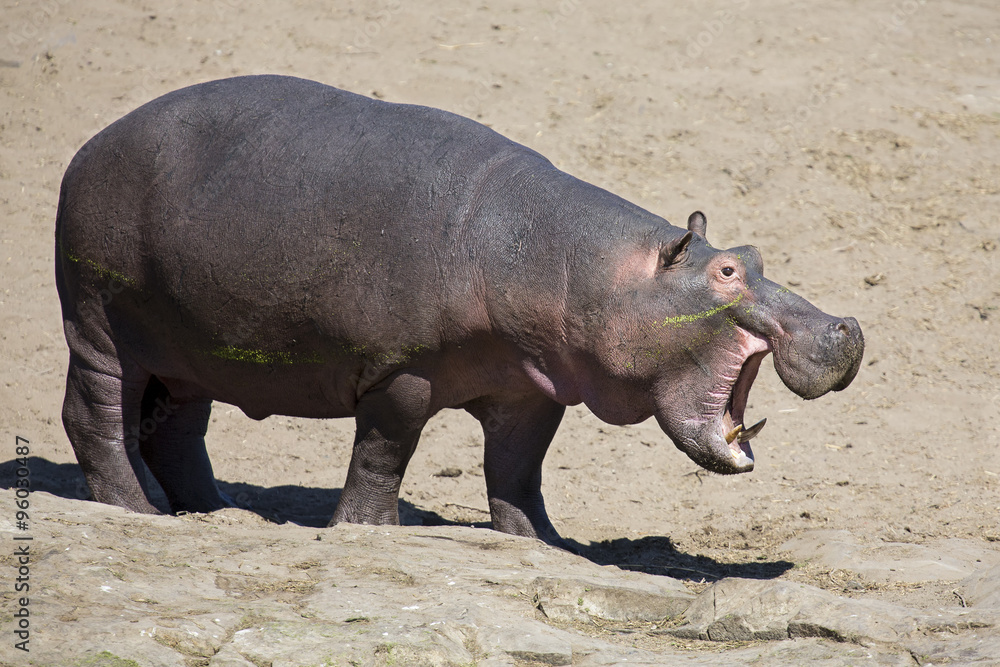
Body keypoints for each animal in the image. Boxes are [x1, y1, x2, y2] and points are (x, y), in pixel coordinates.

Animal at [56, 73, 868, 544]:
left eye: (755, 253)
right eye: (727, 271)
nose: (846, 325)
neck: (577, 266)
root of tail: (92, 143)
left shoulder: (532, 389)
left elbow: (517, 469)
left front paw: (541, 543)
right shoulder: (400, 373)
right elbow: (383, 452)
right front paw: (368, 533)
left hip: (187, 349)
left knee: (177, 429)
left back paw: (216, 512)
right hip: (98, 323)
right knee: (95, 416)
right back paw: (138, 512)